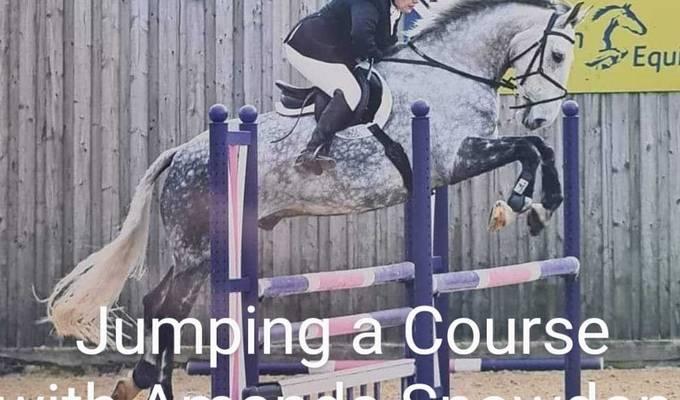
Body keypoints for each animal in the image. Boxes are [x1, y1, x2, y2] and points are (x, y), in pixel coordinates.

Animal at [44, 1, 587, 399]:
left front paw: (541, 206)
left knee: (159, 305)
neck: (451, 72)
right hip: (198, 248)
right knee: (167, 310)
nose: (543, 115)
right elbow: (528, 149)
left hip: (200, 248)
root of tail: (181, 154)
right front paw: (520, 206)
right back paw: (146, 383)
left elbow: (537, 149)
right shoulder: (453, 158)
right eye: (558, 57)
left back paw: (142, 382)